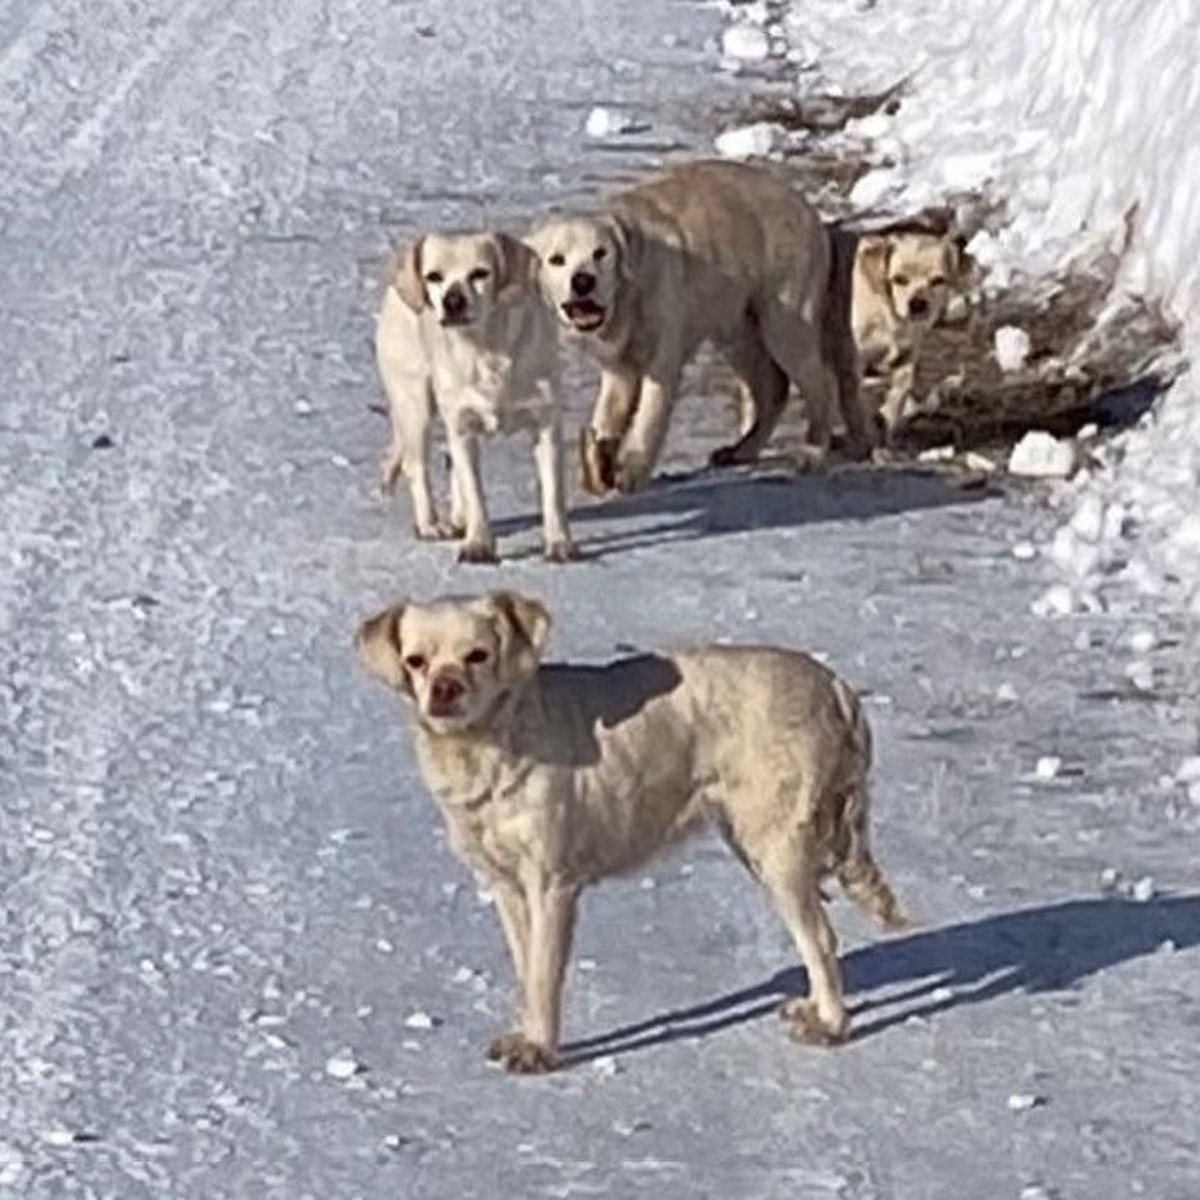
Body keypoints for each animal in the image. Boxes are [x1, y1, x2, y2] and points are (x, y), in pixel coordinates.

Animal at [350, 588, 902, 1070]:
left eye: (478, 655)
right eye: (416, 661)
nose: (444, 689)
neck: (492, 743)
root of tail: (835, 685)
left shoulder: (553, 884)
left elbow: (545, 973)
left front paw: (540, 1048)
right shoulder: (506, 885)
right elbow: (528, 966)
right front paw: (527, 1034)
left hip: (777, 846)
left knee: (822, 938)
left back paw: (831, 1024)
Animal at [376, 231, 578, 564]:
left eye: (480, 273)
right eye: (433, 276)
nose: (453, 301)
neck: (485, 349)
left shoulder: (546, 424)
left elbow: (553, 494)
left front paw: (560, 544)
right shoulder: (462, 426)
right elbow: (475, 494)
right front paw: (478, 545)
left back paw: (457, 519)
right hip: (415, 405)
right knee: (417, 466)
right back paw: (431, 525)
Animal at [530, 159, 878, 496]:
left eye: (601, 253)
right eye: (556, 259)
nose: (583, 281)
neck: (626, 296)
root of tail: (811, 213)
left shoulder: (662, 354)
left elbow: (649, 416)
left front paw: (631, 472)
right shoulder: (620, 366)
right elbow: (608, 415)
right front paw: (598, 465)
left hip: (786, 322)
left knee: (819, 386)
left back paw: (812, 451)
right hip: (735, 330)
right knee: (774, 388)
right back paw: (743, 449)